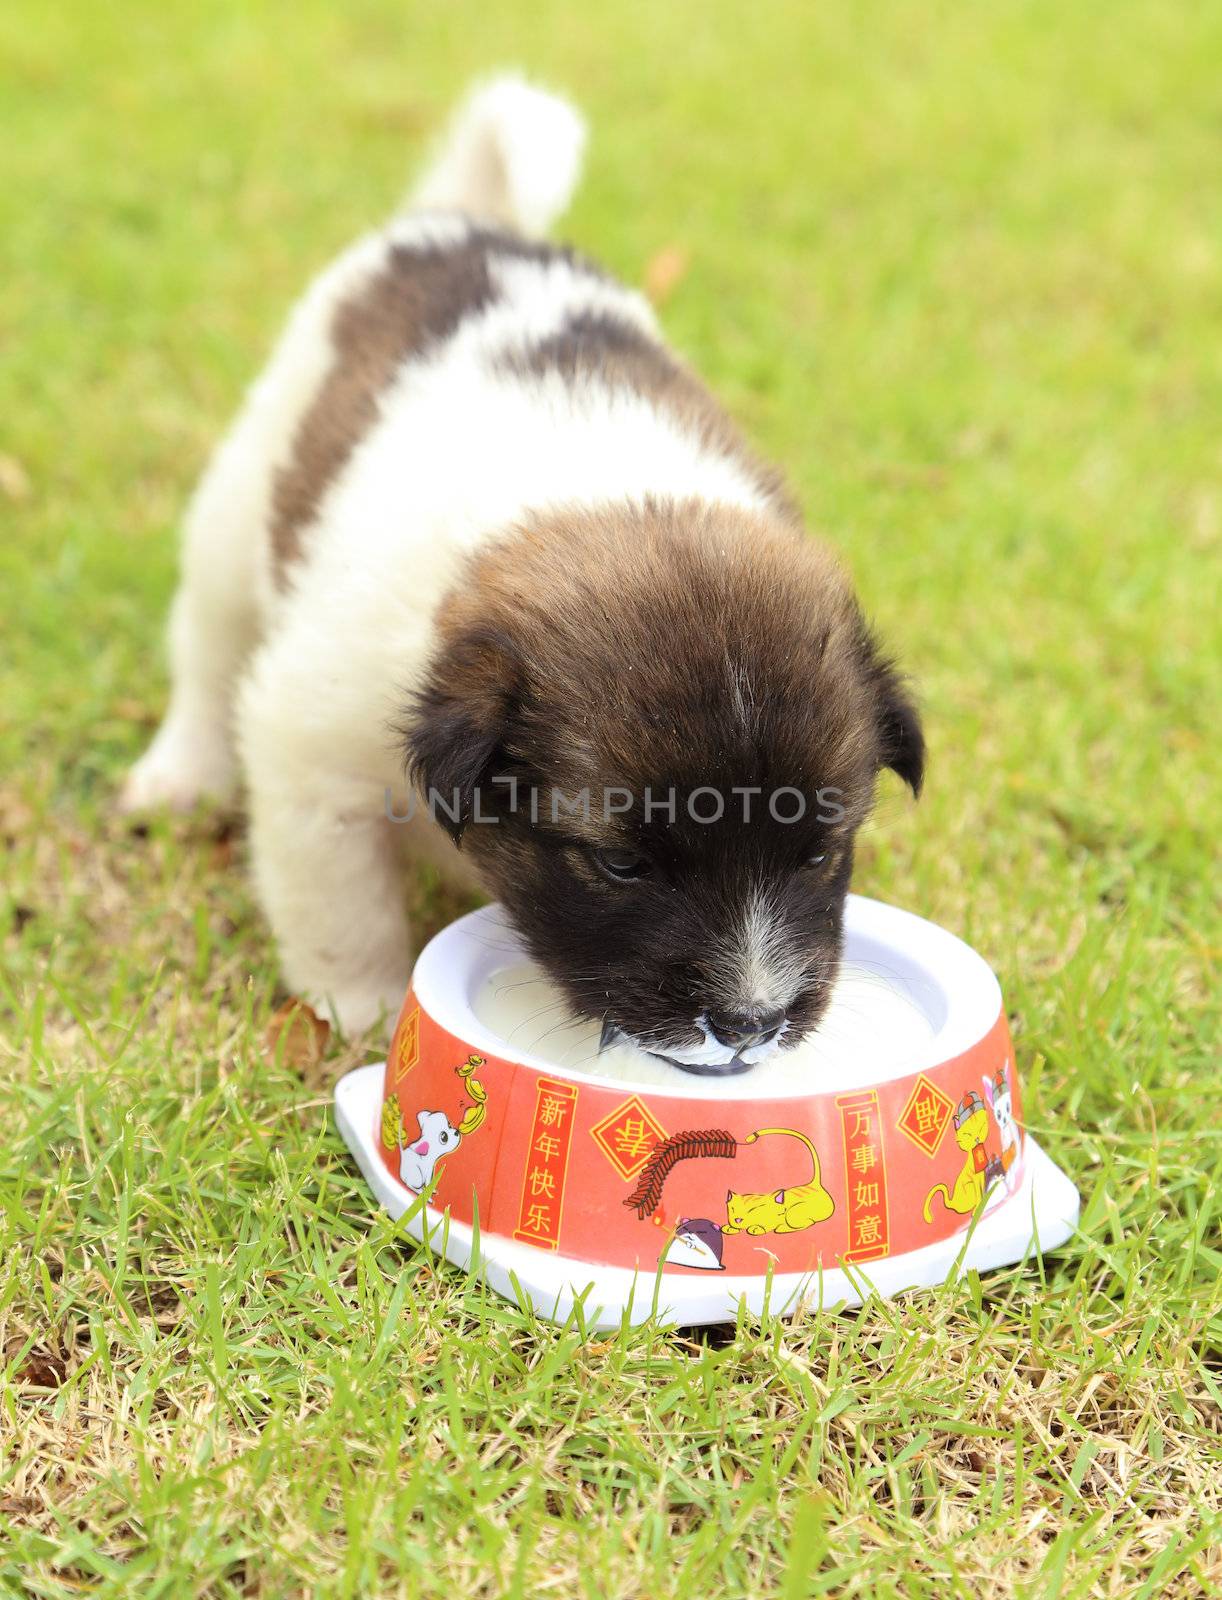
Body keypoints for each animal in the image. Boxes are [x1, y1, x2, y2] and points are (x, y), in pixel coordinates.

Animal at [126, 78, 927, 1075]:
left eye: (820, 853)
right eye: (619, 864)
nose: (750, 1026)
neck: (607, 495)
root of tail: (464, 220)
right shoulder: (313, 745)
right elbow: (342, 903)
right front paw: (364, 1011)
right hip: (238, 516)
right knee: (208, 653)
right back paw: (179, 774)